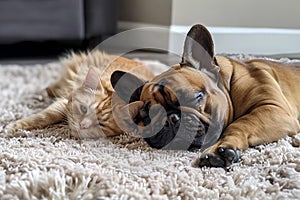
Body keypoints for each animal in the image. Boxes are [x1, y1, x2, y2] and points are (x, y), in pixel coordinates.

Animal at [6, 50, 154, 138]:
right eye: (83, 109)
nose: (82, 125)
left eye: (101, 125)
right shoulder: (63, 101)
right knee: (54, 86)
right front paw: (13, 127)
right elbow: (44, 116)